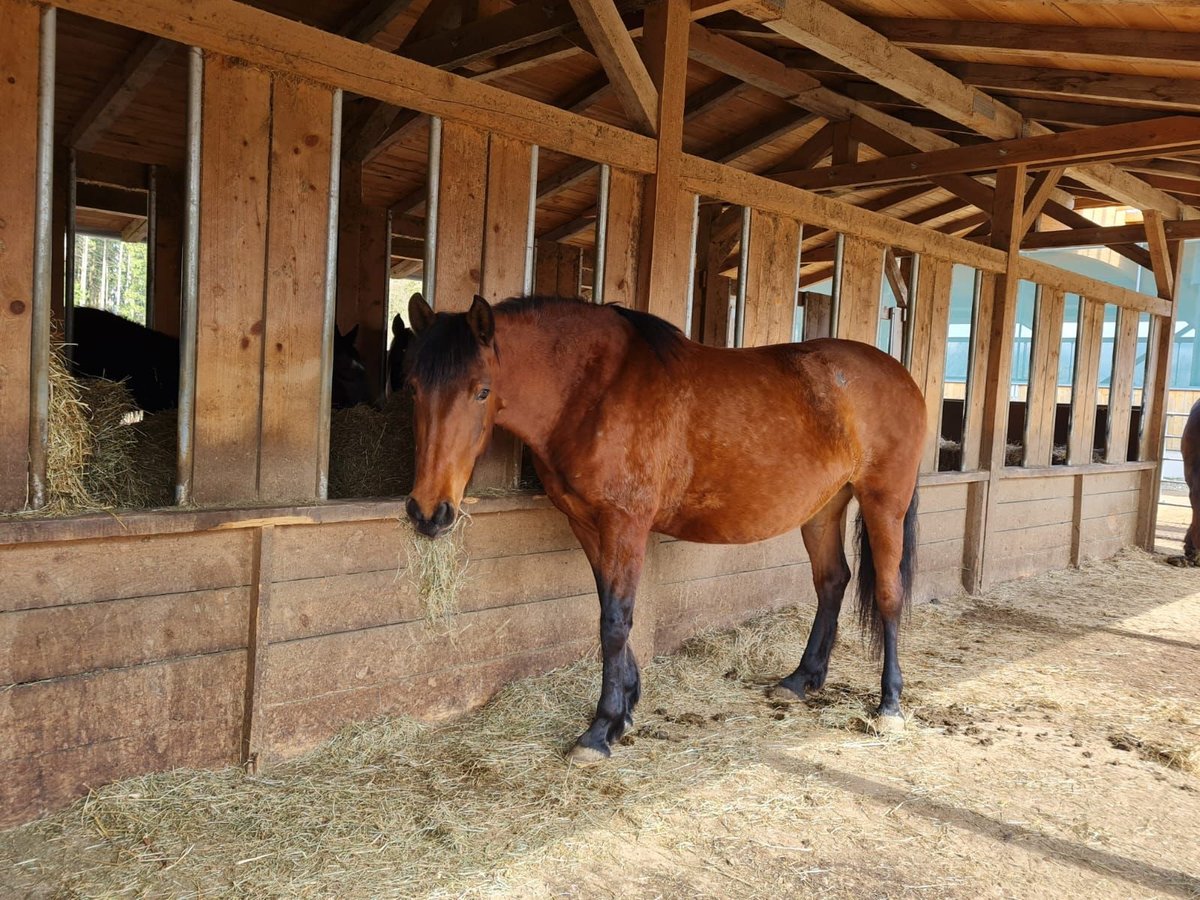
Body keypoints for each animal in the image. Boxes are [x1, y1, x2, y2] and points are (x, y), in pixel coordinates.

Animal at [408, 292, 921, 763]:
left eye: (481, 390)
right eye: (412, 387)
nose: (428, 513)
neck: (592, 390)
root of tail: (902, 377)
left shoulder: (626, 524)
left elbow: (615, 621)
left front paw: (600, 730)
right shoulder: (585, 523)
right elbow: (608, 609)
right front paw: (626, 705)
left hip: (884, 503)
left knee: (889, 594)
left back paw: (889, 706)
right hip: (823, 508)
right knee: (832, 581)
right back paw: (800, 680)